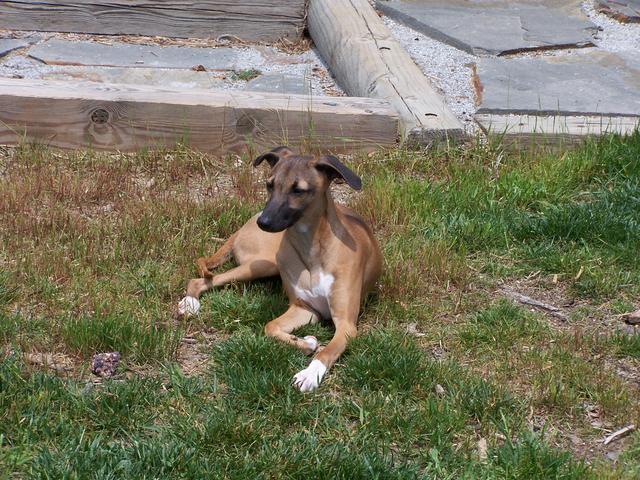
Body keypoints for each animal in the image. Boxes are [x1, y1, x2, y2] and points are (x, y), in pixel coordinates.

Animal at [178, 148, 382, 392]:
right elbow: (271, 326)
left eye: (298, 190)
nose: (264, 222)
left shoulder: (346, 324)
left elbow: (326, 351)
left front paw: (310, 373)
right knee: (202, 279)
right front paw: (305, 342)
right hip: (265, 263)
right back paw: (190, 302)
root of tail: (244, 225)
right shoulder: (304, 308)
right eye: (269, 185)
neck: (313, 249)